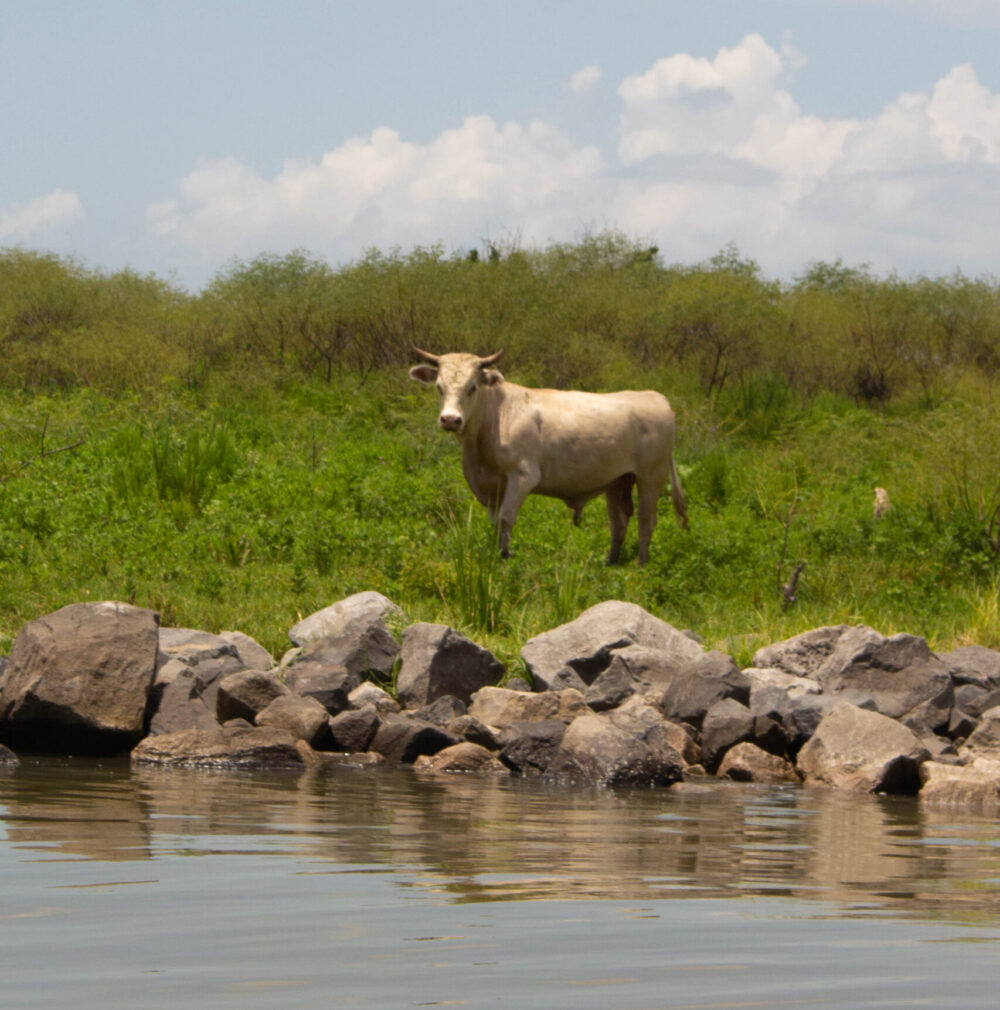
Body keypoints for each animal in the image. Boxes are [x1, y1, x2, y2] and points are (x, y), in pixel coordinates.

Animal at [408, 349, 686, 565]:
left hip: (651, 476)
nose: (450, 419)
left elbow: (505, 520)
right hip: (617, 481)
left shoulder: (522, 476)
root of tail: (656, 397)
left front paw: (504, 558)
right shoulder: (492, 486)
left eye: (472, 387)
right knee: (619, 521)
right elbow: (494, 524)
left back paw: (641, 565)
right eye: (439, 387)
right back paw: (611, 562)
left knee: (646, 520)